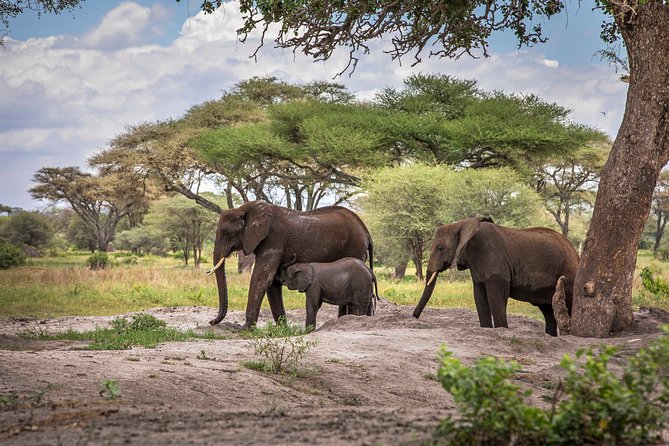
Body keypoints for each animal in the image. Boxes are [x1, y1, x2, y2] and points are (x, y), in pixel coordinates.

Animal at [206, 201, 374, 329]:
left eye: (227, 233)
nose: (211, 322)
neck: (245, 208)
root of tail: (366, 232)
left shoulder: (273, 240)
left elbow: (261, 278)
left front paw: (244, 329)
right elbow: (272, 283)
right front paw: (283, 329)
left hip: (354, 247)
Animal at [413, 217, 579, 336]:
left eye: (440, 248)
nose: (414, 317)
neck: (463, 224)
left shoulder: (495, 261)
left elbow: (496, 297)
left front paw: (501, 329)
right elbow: (479, 296)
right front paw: (486, 329)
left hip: (568, 275)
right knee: (547, 310)